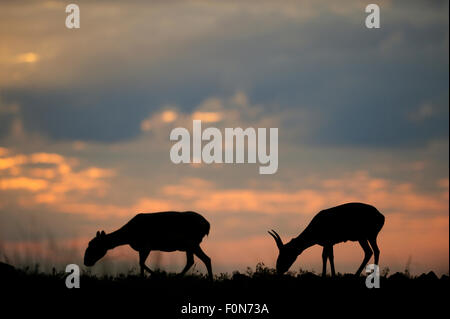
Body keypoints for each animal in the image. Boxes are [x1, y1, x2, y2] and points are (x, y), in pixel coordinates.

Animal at [83, 212, 214, 280]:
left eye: (94, 245)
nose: (86, 261)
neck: (128, 235)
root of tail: (207, 225)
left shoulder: (147, 246)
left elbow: (142, 263)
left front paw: (156, 275)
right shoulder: (141, 249)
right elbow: (141, 264)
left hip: (192, 243)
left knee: (205, 259)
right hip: (189, 245)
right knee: (194, 261)